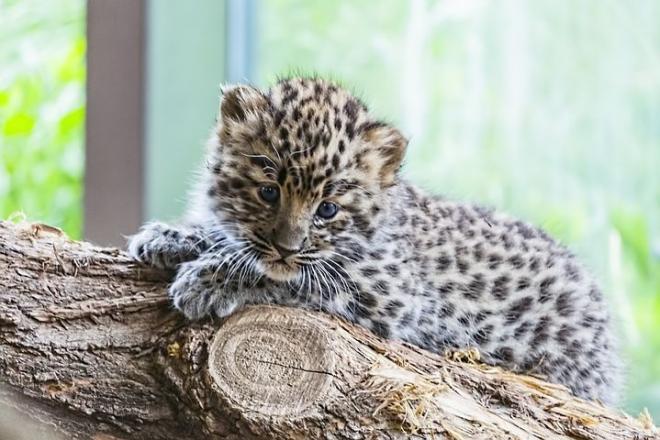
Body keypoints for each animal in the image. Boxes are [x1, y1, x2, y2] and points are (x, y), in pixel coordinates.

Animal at [128, 76, 621, 404]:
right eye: (268, 192)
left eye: (328, 209)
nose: (288, 247)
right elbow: (231, 238)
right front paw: (169, 236)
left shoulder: (387, 290)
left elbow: (288, 277)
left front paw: (206, 281)